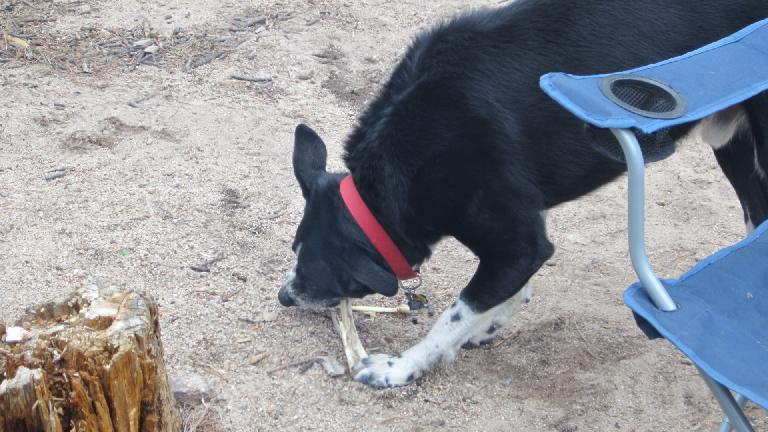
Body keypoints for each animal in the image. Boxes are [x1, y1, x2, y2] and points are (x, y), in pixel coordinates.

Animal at [280, 0, 768, 388]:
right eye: (294, 250)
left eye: (315, 267)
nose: (285, 296)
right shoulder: (524, 233)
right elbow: (501, 293)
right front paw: (490, 323)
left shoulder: (517, 243)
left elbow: (454, 314)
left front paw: (399, 368)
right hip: (736, 149)